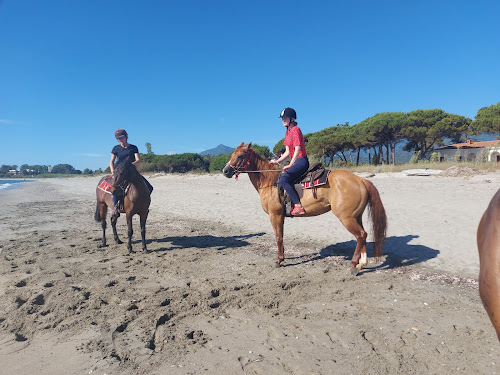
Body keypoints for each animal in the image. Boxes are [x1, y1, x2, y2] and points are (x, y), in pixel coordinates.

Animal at [222, 142, 386, 274]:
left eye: (240, 156)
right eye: (232, 154)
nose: (225, 171)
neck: (269, 181)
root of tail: (360, 180)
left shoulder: (275, 215)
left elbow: (278, 237)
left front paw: (279, 260)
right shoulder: (280, 216)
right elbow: (281, 236)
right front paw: (282, 258)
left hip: (347, 218)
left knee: (360, 235)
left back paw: (353, 266)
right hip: (356, 216)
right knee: (362, 236)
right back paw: (361, 263)